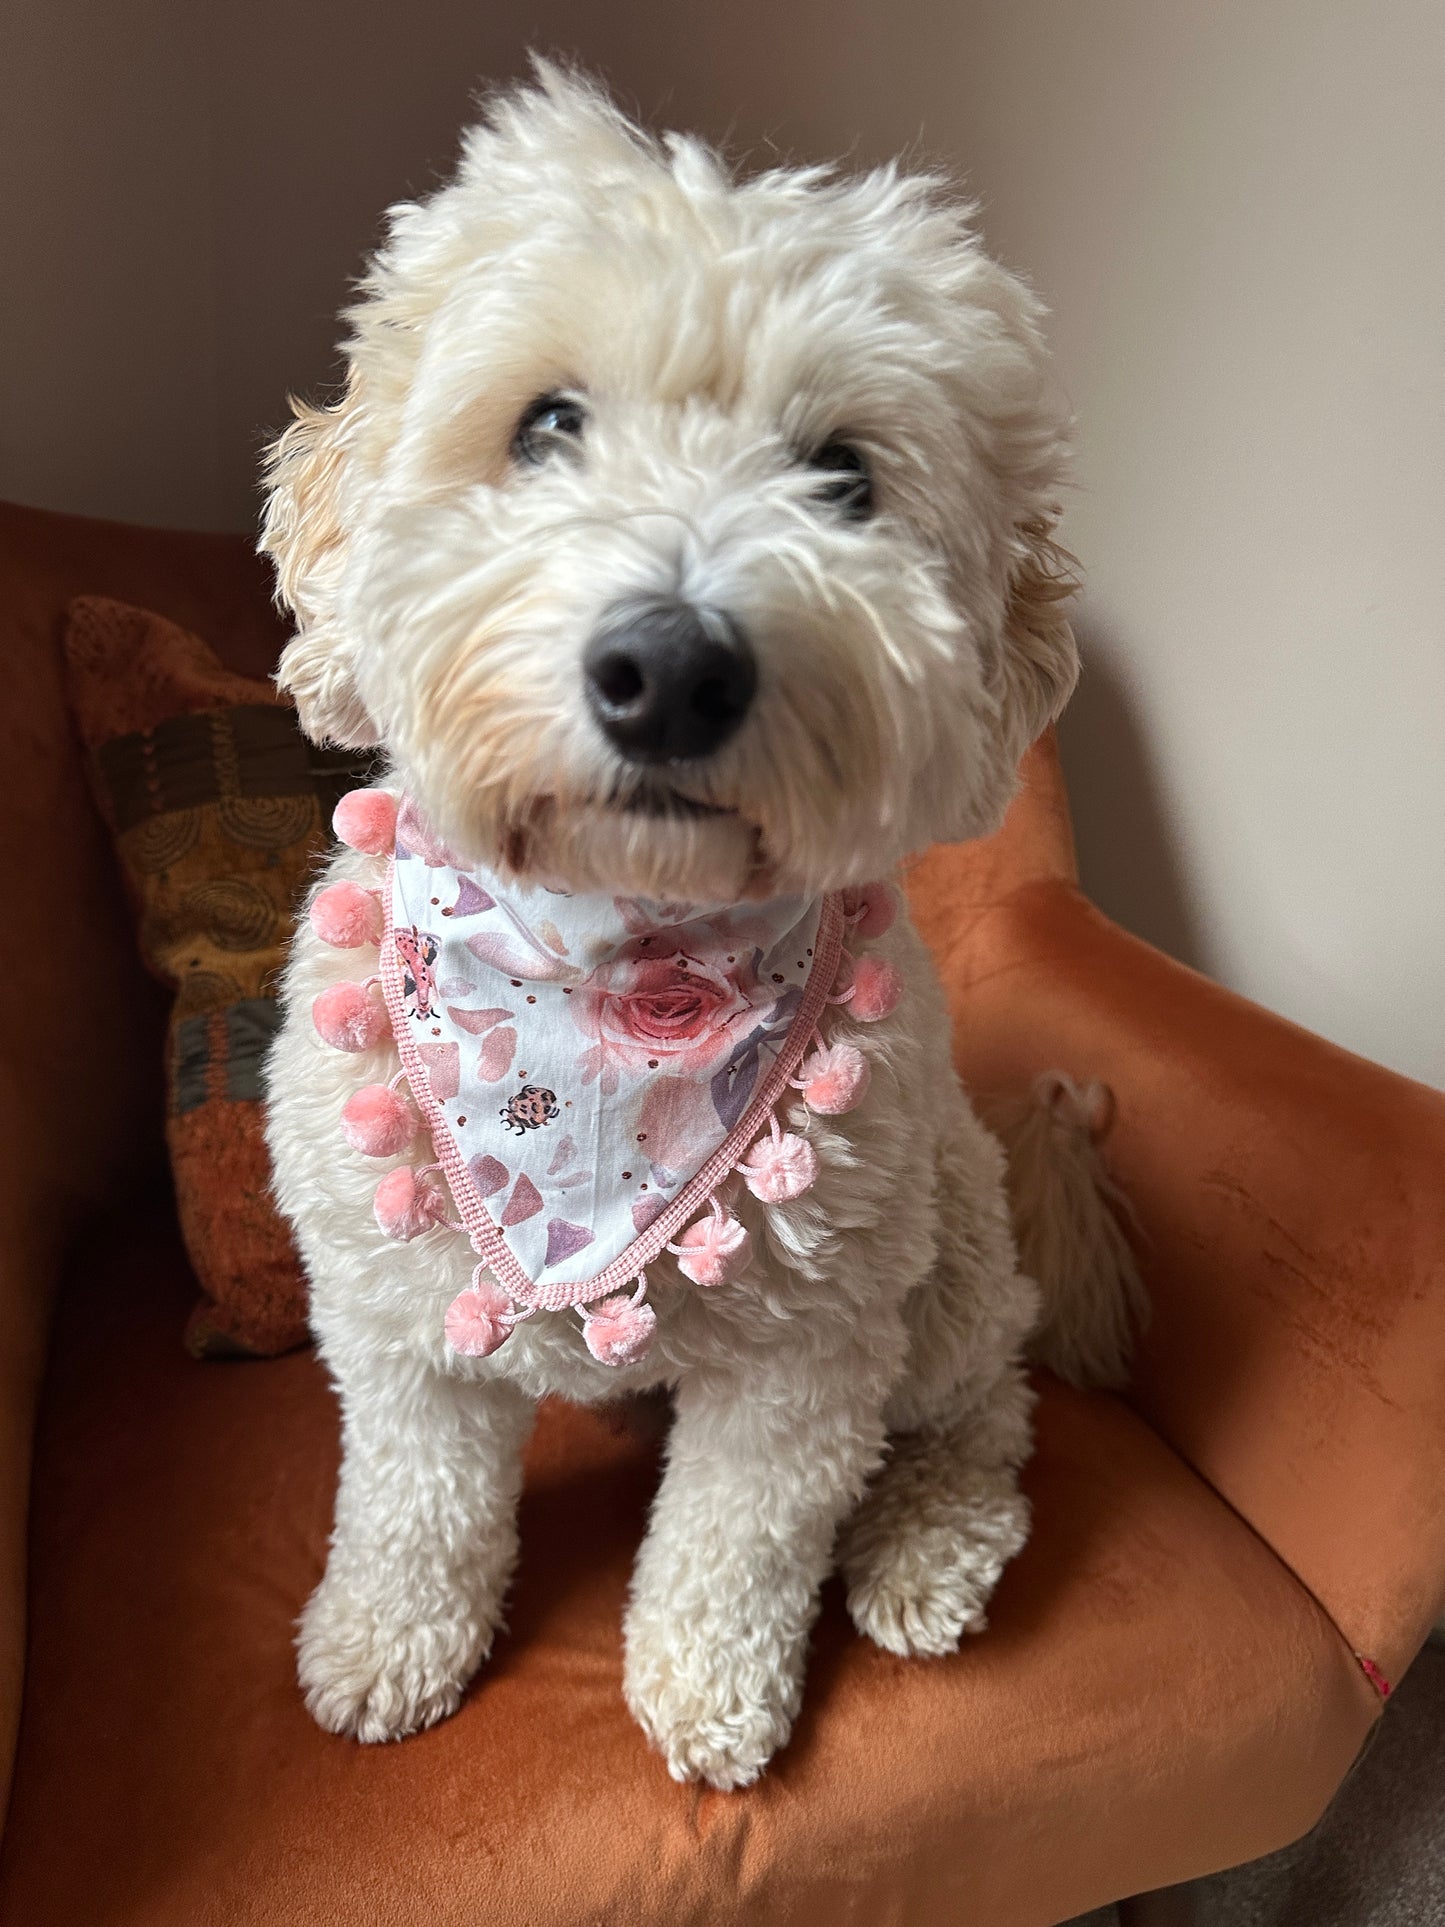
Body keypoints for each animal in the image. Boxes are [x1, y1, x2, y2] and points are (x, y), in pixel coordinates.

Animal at [263, 67, 1140, 1795]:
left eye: (847, 475)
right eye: (545, 422)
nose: (670, 667)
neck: (606, 965)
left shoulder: (806, 1359)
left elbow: (739, 1541)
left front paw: (708, 1691)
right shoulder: (397, 1326)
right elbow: (412, 1500)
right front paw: (388, 1639)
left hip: (940, 1263)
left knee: (986, 1407)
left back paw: (925, 1541)